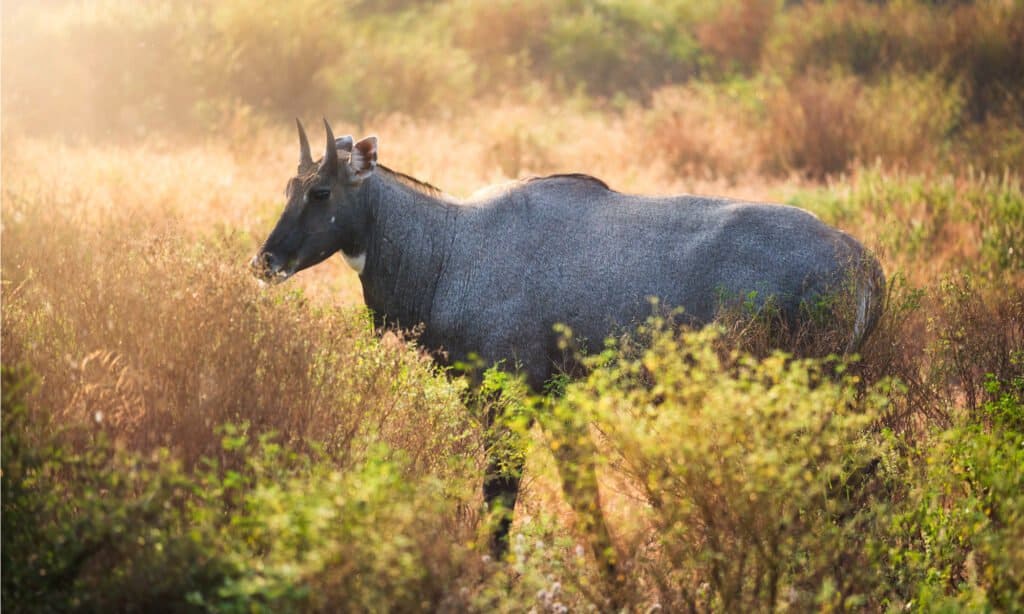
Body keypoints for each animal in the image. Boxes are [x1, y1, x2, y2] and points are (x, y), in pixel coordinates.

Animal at [249, 118, 888, 581]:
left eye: (321, 190)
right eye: (287, 187)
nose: (265, 261)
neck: (447, 249)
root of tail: (864, 262)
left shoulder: (505, 399)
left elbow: (500, 499)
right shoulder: (558, 402)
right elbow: (585, 499)